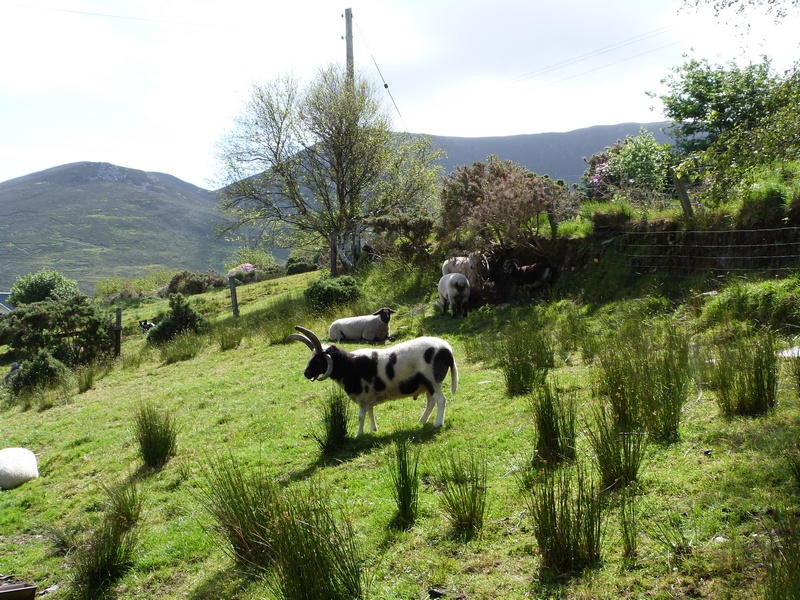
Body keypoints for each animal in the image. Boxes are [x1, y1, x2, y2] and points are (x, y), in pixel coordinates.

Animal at [290, 324, 462, 436]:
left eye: (319, 359)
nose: (306, 373)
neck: (349, 365)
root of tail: (447, 349)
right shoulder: (368, 397)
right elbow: (370, 411)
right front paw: (373, 429)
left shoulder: (363, 395)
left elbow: (361, 416)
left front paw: (359, 435)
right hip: (426, 384)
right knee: (431, 401)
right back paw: (422, 421)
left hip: (432, 380)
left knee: (441, 400)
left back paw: (438, 424)